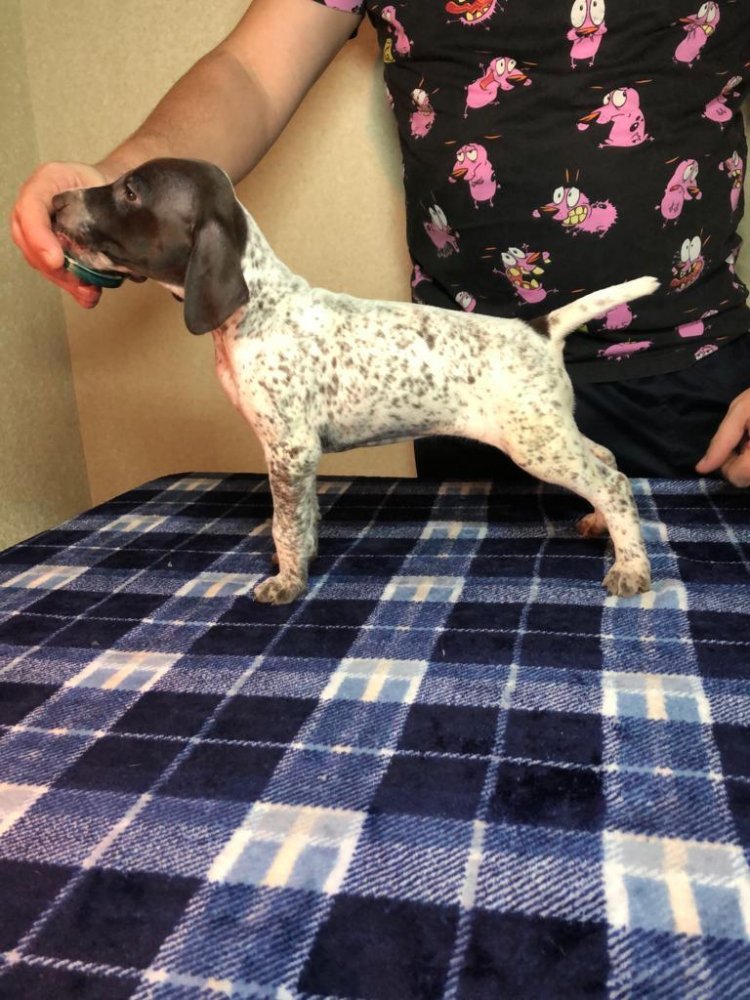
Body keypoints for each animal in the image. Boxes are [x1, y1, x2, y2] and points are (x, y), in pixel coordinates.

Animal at [51, 157, 655, 604]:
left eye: (131, 191)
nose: (54, 202)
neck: (257, 308)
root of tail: (537, 328)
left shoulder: (289, 447)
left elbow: (285, 524)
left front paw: (287, 581)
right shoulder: (297, 455)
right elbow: (303, 516)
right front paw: (304, 556)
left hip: (535, 443)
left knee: (614, 483)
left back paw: (631, 566)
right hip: (549, 430)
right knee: (606, 459)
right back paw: (598, 526)